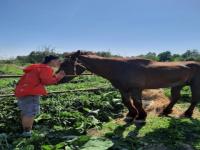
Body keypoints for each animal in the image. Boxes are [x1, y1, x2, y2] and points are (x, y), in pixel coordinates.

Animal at [58, 50, 200, 123]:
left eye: (65, 64)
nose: (58, 80)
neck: (120, 68)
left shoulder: (136, 89)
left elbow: (137, 103)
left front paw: (141, 116)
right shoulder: (123, 89)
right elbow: (126, 102)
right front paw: (131, 115)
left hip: (194, 84)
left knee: (194, 99)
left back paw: (187, 113)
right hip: (178, 85)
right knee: (176, 98)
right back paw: (166, 111)